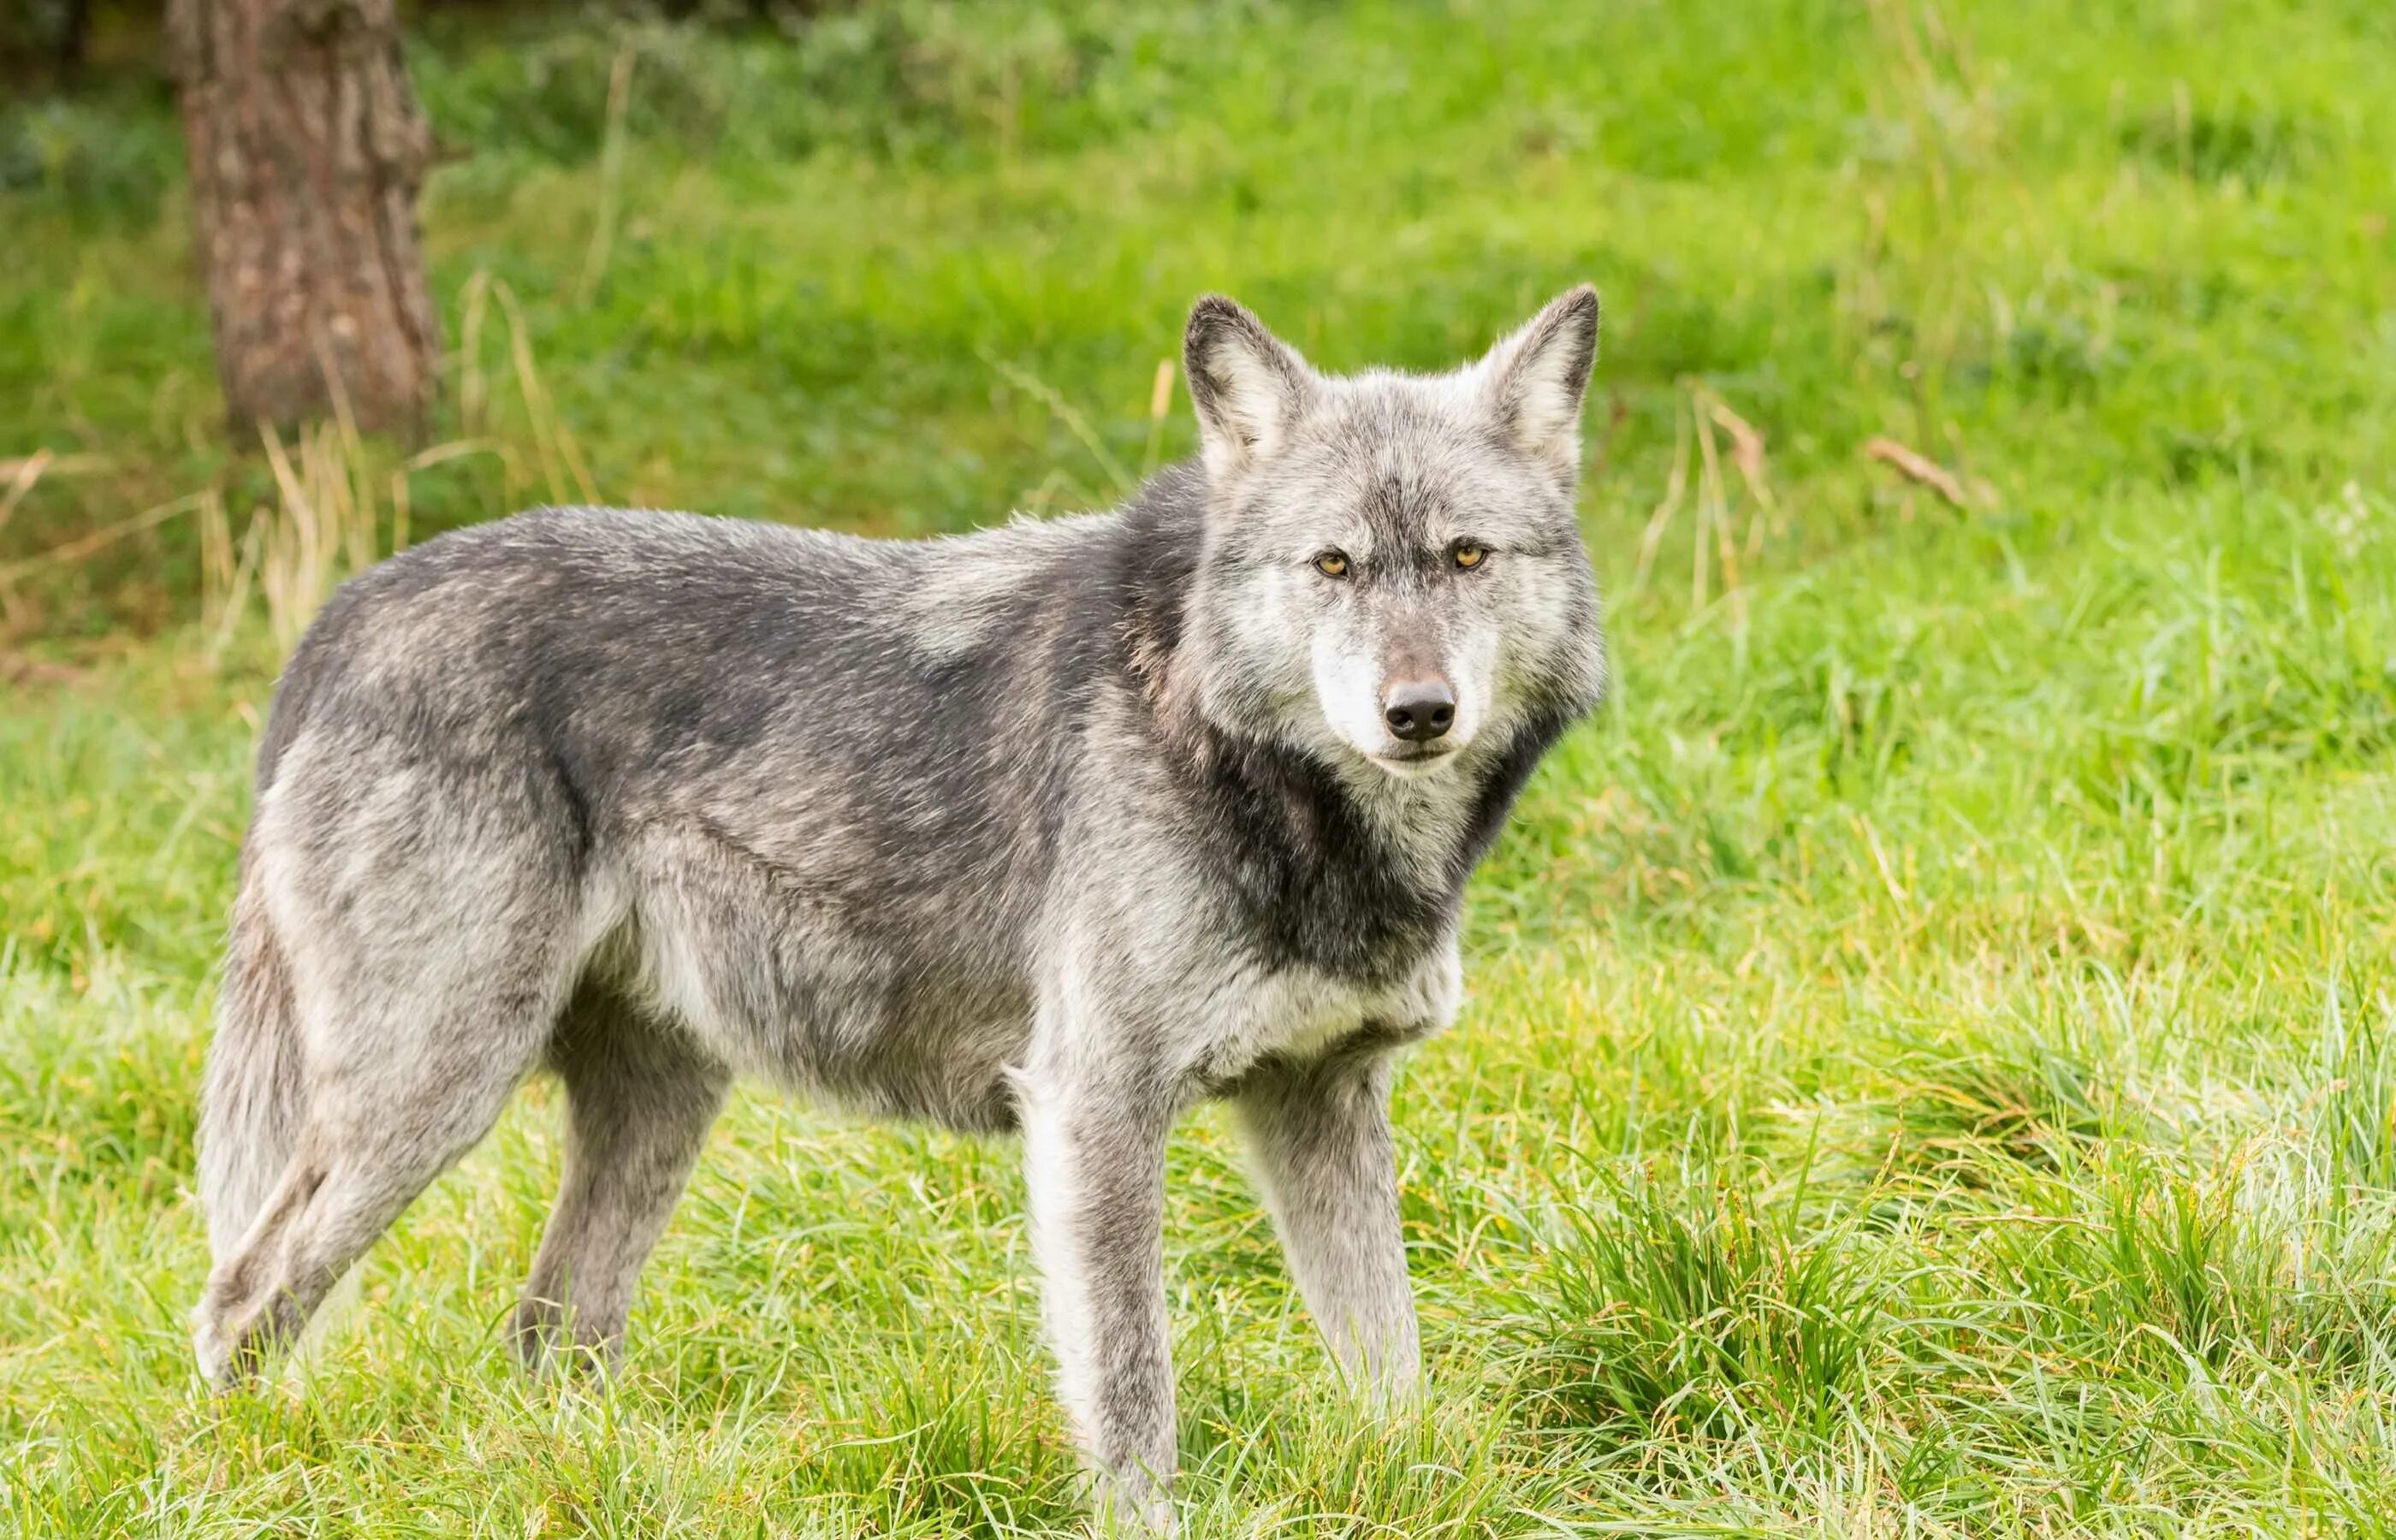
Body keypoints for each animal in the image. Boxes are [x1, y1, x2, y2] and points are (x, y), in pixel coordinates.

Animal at [187, 286, 1610, 1532]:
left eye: (1465, 557)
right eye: (1334, 565)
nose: (1417, 713)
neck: (1240, 759)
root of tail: (352, 606)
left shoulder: (1322, 1102)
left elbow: (1391, 1364)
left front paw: (1427, 1494)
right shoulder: (1095, 1109)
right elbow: (1133, 1391)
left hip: (656, 1108)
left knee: (546, 1327)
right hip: (431, 1098)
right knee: (240, 1294)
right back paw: (237, 1477)